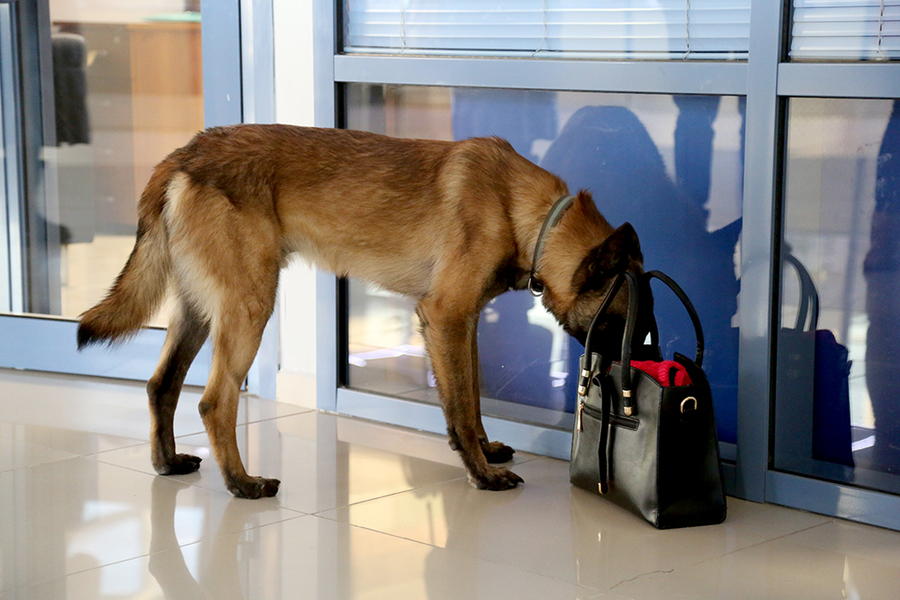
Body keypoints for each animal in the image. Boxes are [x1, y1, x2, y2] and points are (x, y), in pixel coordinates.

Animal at [74, 124, 644, 500]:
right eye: (622, 321)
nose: (634, 377)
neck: (525, 209)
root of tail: (184, 155)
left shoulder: (464, 326)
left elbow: (472, 397)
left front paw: (485, 449)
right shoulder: (445, 317)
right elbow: (460, 408)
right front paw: (481, 473)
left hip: (199, 311)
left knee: (162, 385)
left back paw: (168, 463)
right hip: (249, 308)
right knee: (214, 402)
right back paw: (242, 483)